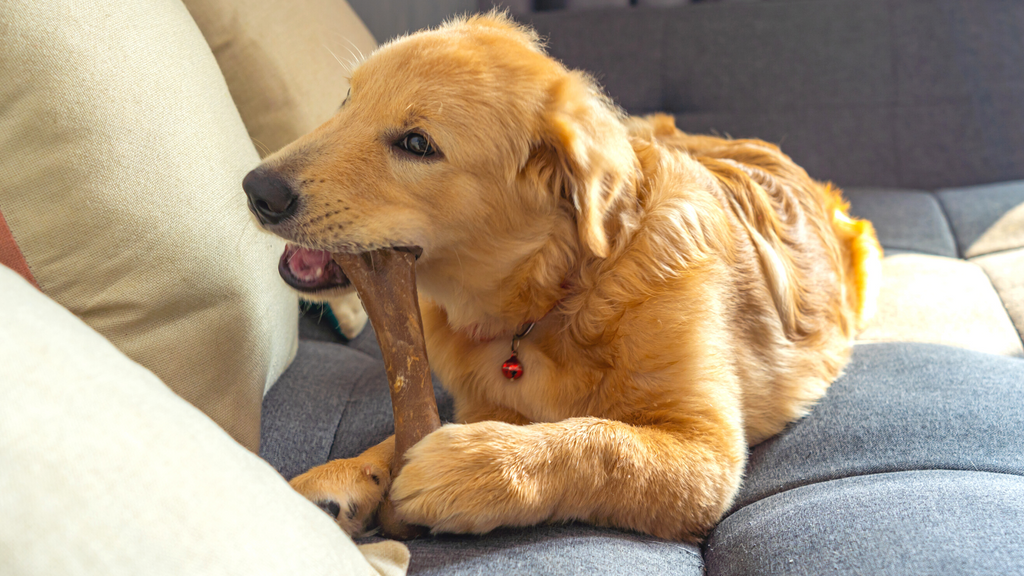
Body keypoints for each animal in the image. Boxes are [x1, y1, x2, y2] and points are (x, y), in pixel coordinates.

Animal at [239, 13, 880, 541]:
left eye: (417, 144)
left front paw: (470, 465)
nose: (255, 188)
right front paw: (347, 473)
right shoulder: (474, 395)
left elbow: (603, 444)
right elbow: (410, 429)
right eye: (346, 99)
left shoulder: (708, 451)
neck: (562, 295)